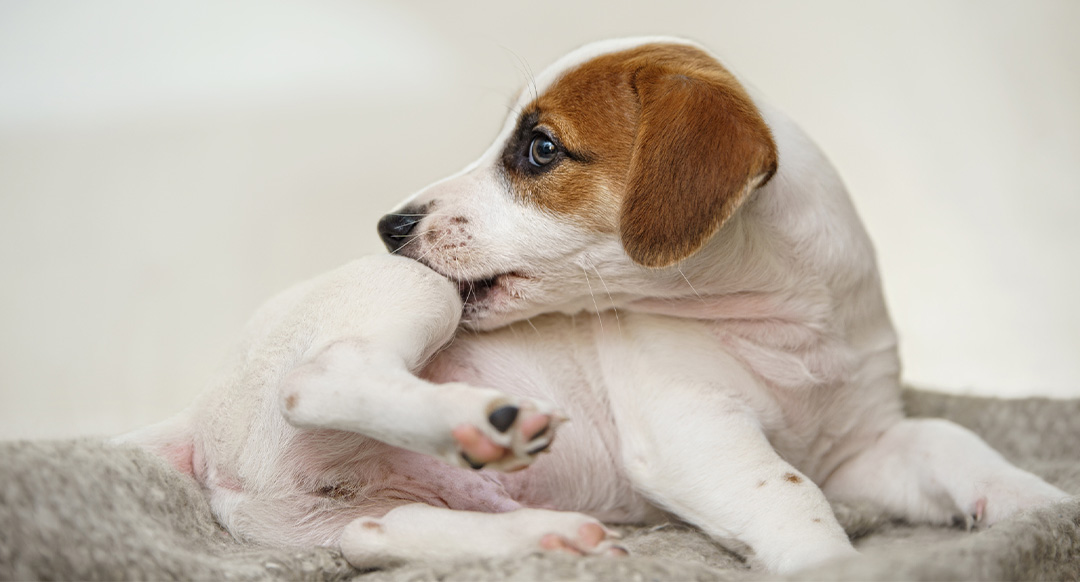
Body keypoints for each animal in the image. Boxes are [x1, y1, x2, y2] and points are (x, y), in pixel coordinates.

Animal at [120, 37, 1071, 574]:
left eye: (540, 150)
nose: (390, 226)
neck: (784, 324)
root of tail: (198, 418)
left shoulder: (862, 447)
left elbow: (953, 442)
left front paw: (1040, 507)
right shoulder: (695, 434)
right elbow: (790, 493)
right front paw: (831, 565)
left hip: (349, 511)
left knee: (378, 536)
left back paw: (546, 538)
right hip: (410, 295)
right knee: (319, 378)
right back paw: (481, 421)